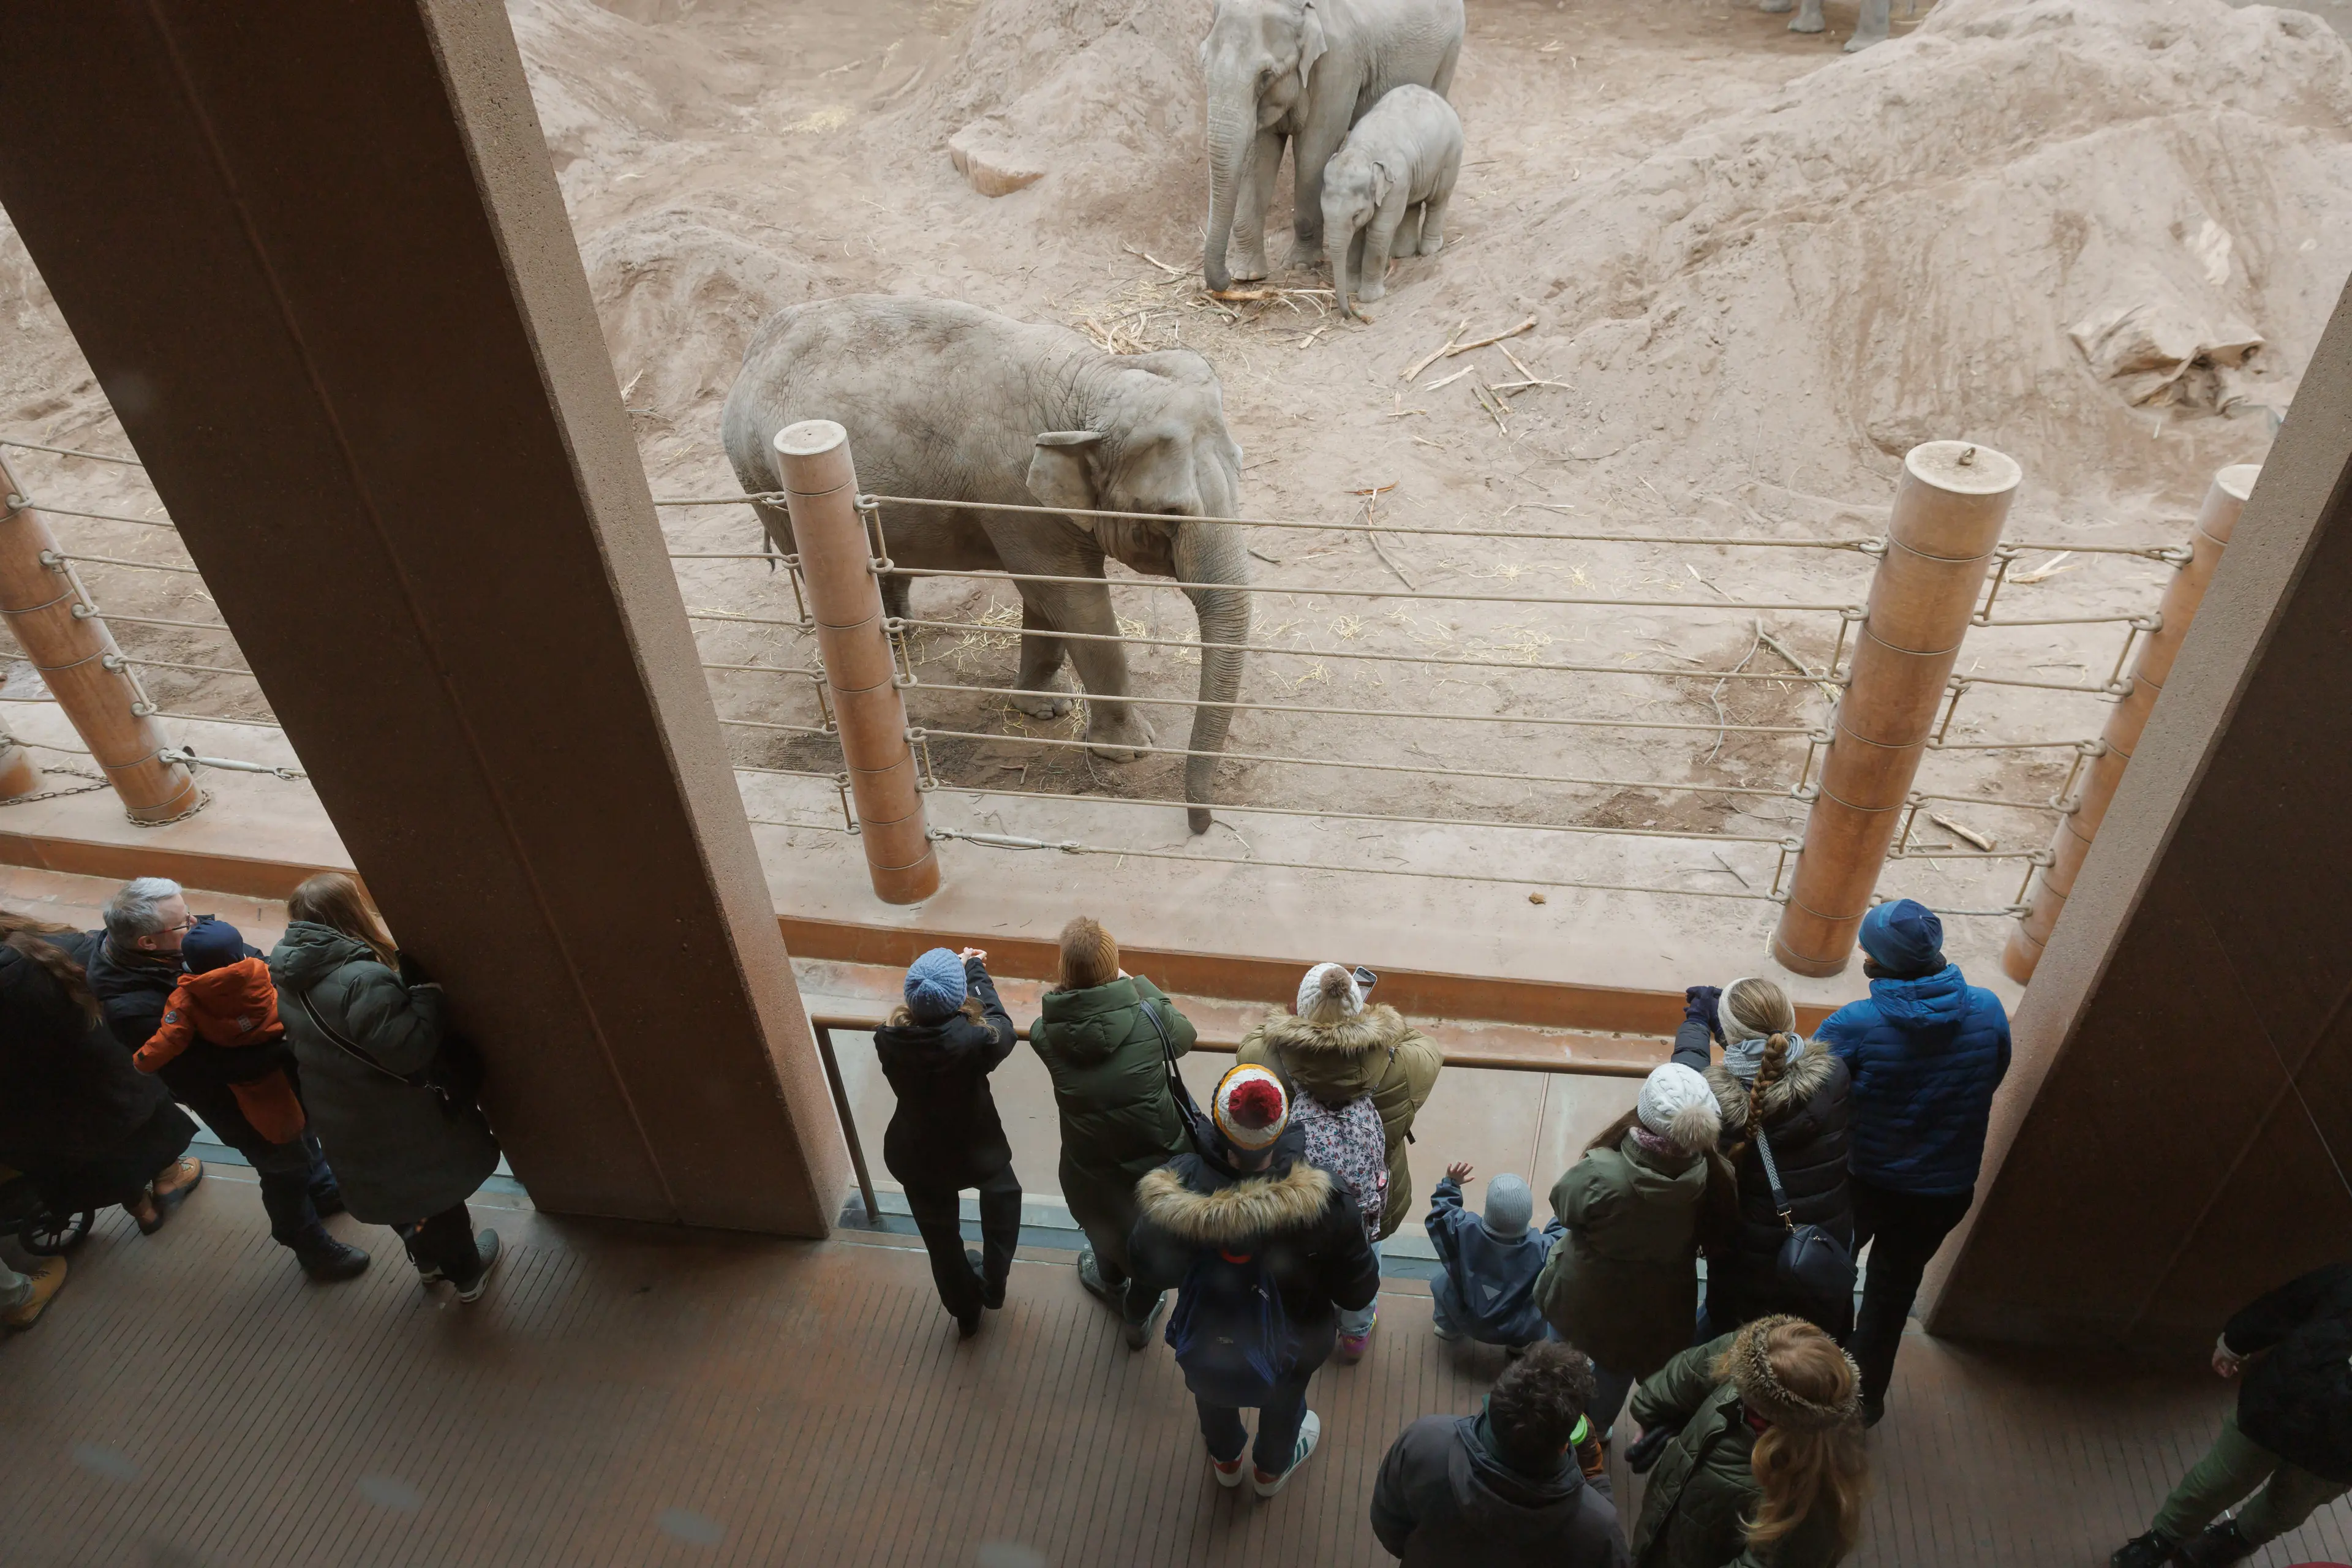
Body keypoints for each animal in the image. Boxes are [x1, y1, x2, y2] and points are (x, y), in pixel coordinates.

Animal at [719, 296, 1251, 835]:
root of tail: (749, 355)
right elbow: (1073, 599)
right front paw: (1129, 751)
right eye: (1168, 514)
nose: (1201, 824)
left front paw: (1045, 708)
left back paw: (899, 635)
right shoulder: (1014, 493)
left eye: (1241, 470)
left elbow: (1048, 597)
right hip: (766, 481)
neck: (1092, 382)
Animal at [1201, 0, 1464, 293]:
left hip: (1450, 50)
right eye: (1203, 62)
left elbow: (1314, 150)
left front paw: (1300, 265)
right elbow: (1259, 154)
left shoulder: (1338, 64)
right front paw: (1247, 275)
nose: (1224, 281)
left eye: (1265, 75)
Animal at [1321, 84, 1462, 319]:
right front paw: (1351, 287)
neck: (1364, 150)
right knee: (1413, 205)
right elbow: (1357, 236)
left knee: (1438, 200)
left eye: (1356, 215)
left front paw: (1370, 298)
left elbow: (1380, 231)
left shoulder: (1397, 180)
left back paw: (1430, 250)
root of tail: (1440, 99)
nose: (1349, 314)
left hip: (1451, 156)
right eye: (1323, 213)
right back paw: (1402, 253)